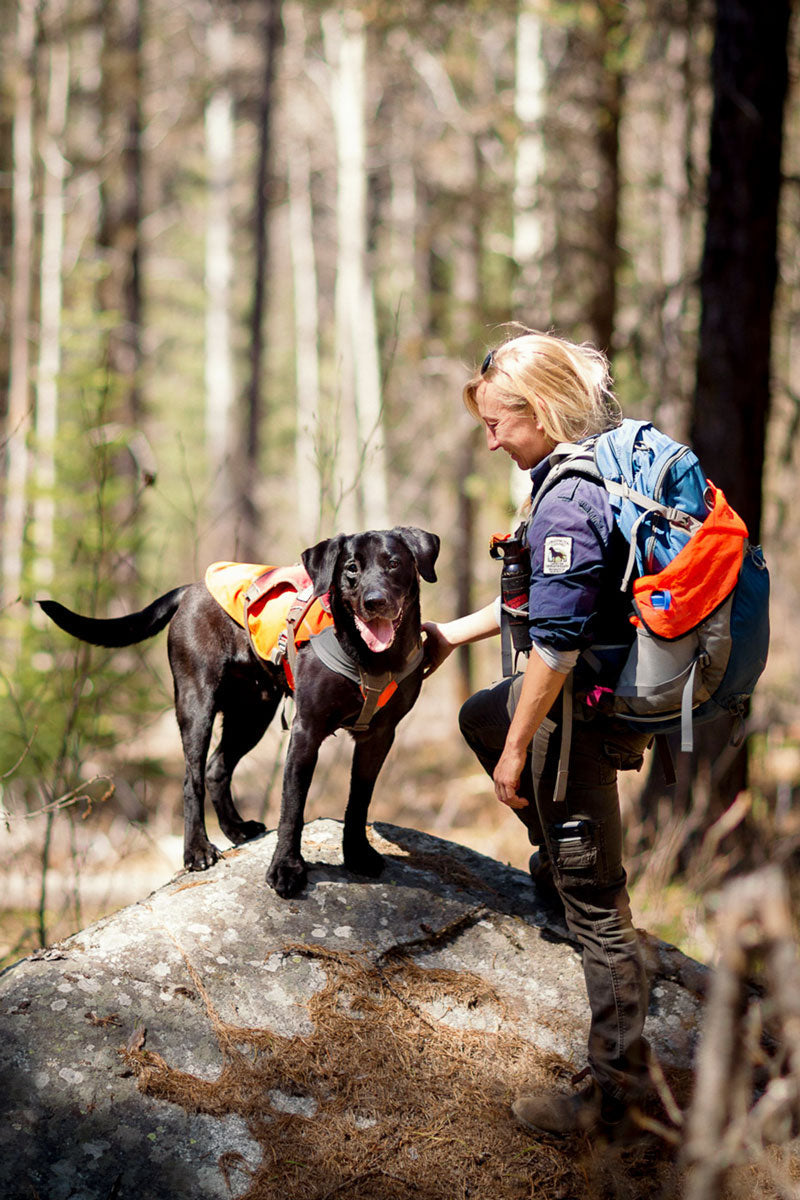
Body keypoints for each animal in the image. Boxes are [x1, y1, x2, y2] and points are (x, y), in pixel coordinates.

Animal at [38, 528, 438, 902]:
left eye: (394, 563)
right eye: (351, 568)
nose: (375, 601)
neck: (370, 660)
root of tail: (191, 589)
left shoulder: (379, 736)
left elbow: (359, 801)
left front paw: (356, 855)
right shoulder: (306, 731)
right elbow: (292, 808)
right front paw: (286, 870)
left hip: (252, 714)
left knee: (217, 768)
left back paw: (237, 829)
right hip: (197, 704)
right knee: (193, 777)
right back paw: (197, 850)